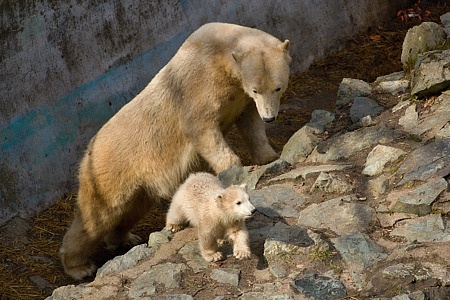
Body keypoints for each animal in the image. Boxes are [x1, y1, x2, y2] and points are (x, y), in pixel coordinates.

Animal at [60, 22, 292, 278]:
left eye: (278, 87)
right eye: (256, 89)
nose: (270, 117)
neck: (221, 51)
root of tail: (90, 147)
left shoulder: (239, 96)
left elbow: (250, 121)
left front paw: (269, 156)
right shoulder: (200, 84)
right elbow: (201, 128)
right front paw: (233, 168)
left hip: (139, 184)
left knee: (131, 210)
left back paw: (124, 238)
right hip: (112, 168)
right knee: (98, 215)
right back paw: (79, 266)